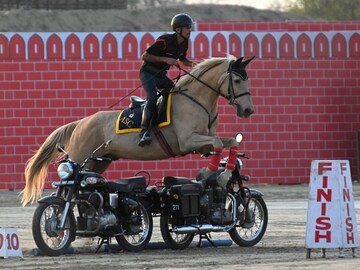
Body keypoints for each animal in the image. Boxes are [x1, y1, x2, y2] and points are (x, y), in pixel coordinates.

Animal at [21, 55, 255, 207]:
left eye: (247, 79)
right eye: (236, 80)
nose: (248, 110)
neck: (196, 99)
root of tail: (80, 123)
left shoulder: (203, 143)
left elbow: (230, 142)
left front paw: (223, 175)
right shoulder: (188, 141)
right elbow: (218, 144)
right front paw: (208, 174)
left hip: (98, 162)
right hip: (80, 158)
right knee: (65, 187)